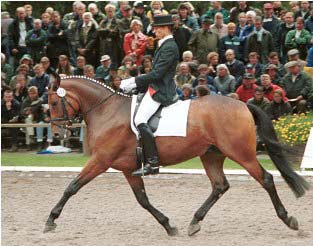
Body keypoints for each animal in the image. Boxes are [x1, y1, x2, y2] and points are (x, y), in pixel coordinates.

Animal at [44, 75, 310, 236]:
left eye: (54, 103)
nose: (56, 133)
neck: (107, 111)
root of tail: (243, 104)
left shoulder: (100, 161)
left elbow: (72, 187)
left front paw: (50, 220)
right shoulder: (129, 168)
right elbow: (142, 200)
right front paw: (168, 225)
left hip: (241, 153)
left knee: (266, 179)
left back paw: (288, 219)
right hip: (211, 155)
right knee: (220, 186)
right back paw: (194, 222)